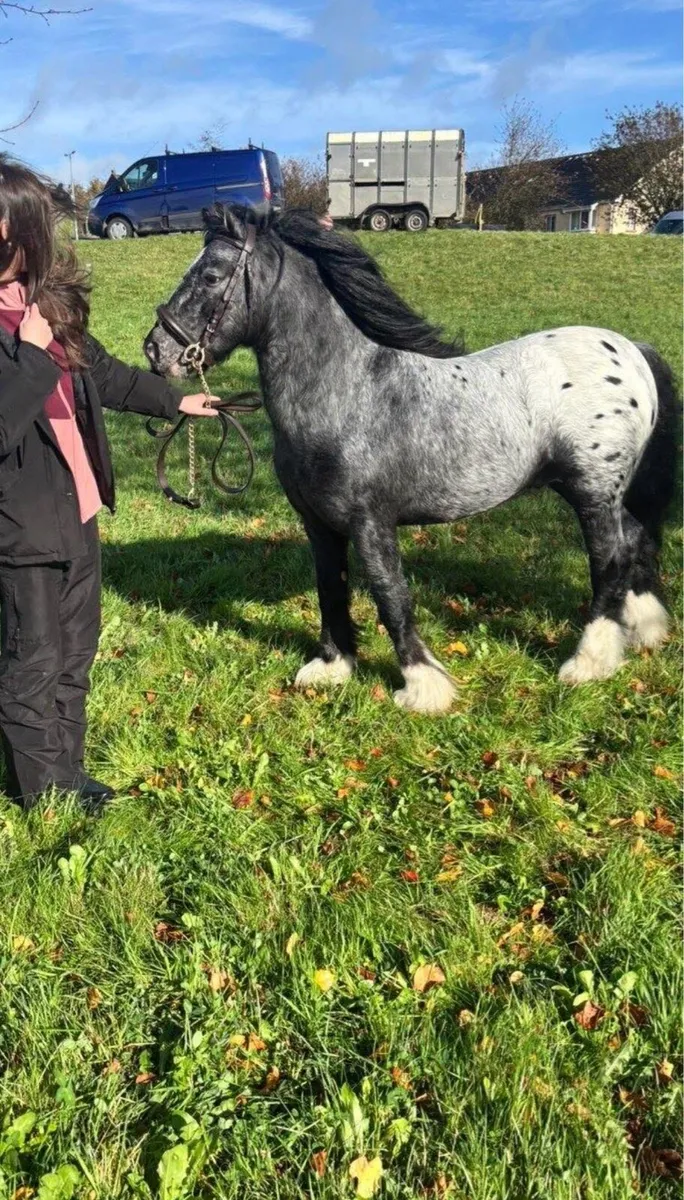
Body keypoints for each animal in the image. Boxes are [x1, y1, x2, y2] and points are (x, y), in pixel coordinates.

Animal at [144, 205, 677, 714]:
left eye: (211, 275)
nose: (156, 350)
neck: (350, 389)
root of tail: (632, 350)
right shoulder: (319, 523)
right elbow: (330, 587)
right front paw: (332, 666)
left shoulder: (370, 523)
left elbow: (390, 595)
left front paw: (422, 687)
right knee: (635, 542)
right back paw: (644, 628)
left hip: (592, 493)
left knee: (610, 561)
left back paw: (589, 662)